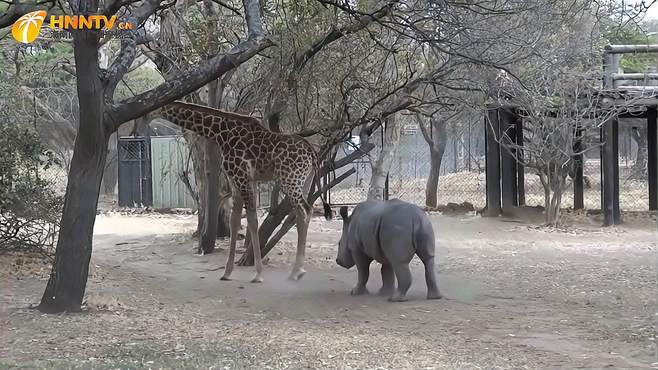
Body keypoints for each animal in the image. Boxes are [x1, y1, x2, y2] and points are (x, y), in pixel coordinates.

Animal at [152, 101, 330, 284]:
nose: (149, 118)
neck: (220, 133)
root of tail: (313, 154)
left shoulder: (242, 177)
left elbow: (252, 219)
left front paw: (258, 274)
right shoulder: (237, 181)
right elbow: (235, 220)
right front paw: (227, 272)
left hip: (291, 179)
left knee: (303, 210)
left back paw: (296, 272)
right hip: (303, 180)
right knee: (307, 210)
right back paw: (298, 270)